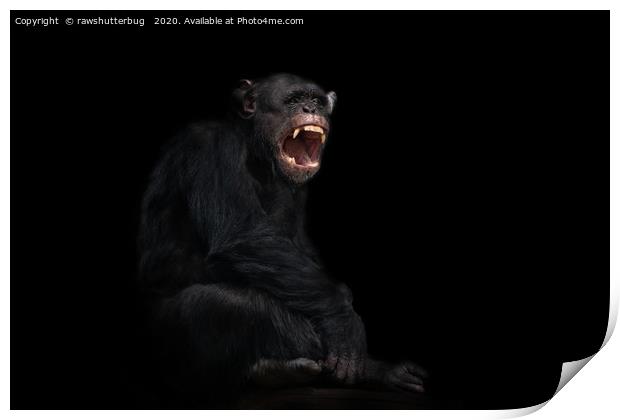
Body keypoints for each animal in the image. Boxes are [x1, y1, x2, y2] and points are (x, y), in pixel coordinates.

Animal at [137, 73, 426, 406]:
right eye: (293, 100)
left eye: (316, 100)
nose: (309, 108)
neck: (253, 149)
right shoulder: (209, 146)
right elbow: (242, 234)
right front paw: (343, 318)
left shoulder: (296, 190)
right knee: (232, 304)